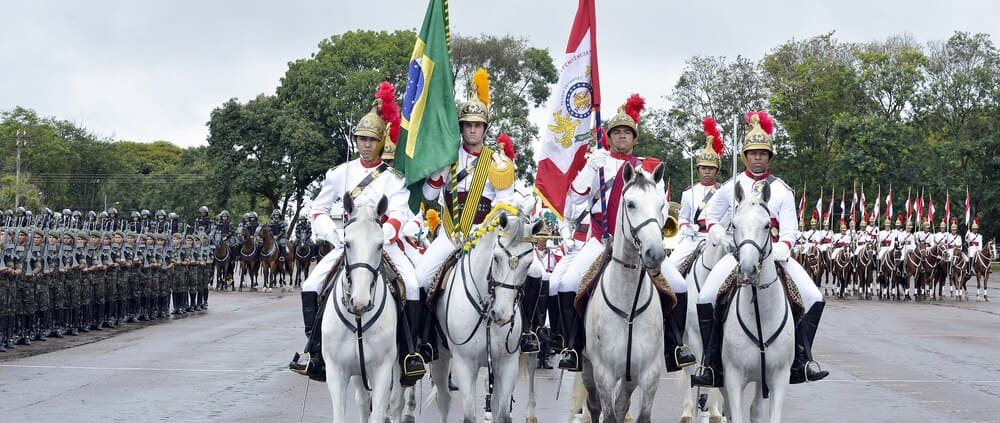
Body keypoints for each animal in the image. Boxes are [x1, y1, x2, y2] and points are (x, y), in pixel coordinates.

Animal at [320, 195, 398, 423]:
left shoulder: (382, 370)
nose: (360, 301)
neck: (358, 318)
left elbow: (379, 412)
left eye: (380, 245)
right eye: (347, 243)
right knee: (363, 401)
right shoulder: (336, 372)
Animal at [428, 204, 544, 423]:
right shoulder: (464, 365)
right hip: (440, 358)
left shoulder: (506, 364)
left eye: (528, 264)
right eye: (497, 258)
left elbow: (504, 415)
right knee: (443, 399)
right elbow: (469, 417)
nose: (503, 315)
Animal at [580, 163, 664, 423]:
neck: (629, 304)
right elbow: (608, 415)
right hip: (588, 368)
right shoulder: (604, 373)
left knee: (622, 404)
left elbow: (638, 414)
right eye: (631, 204)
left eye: (661, 205)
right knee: (594, 405)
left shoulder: (648, 374)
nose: (655, 253)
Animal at [724, 183, 792, 423]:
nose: (747, 271)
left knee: (756, 410)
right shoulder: (733, 377)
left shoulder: (779, 377)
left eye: (766, 225)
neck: (761, 314)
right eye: (734, 225)